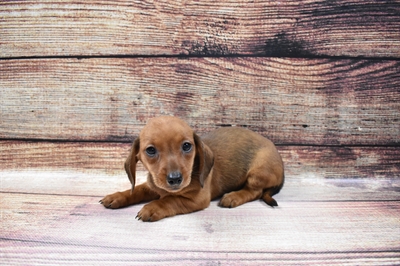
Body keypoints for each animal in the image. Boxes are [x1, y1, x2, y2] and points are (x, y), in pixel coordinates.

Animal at [101, 115, 286, 221]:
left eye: (187, 146)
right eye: (151, 150)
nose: (175, 179)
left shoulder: (197, 199)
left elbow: (171, 200)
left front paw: (153, 207)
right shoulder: (153, 185)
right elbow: (137, 190)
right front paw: (117, 196)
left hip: (258, 171)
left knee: (256, 191)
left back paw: (233, 196)